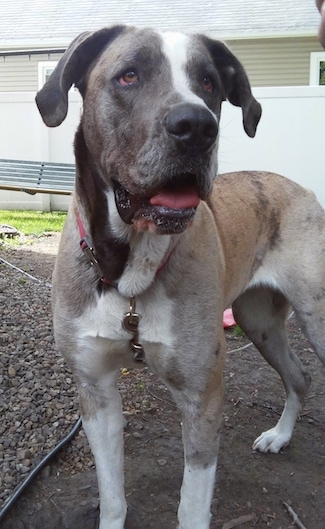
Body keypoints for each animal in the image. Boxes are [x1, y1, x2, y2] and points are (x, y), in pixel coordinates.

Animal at [35, 24, 324, 528]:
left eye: (209, 83)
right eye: (129, 75)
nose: (197, 127)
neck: (128, 271)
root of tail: (301, 188)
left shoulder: (202, 395)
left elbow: (191, 503)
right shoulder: (96, 393)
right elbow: (112, 494)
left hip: (316, 317)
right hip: (259, 323)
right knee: (300, 376)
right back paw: (280, 436)